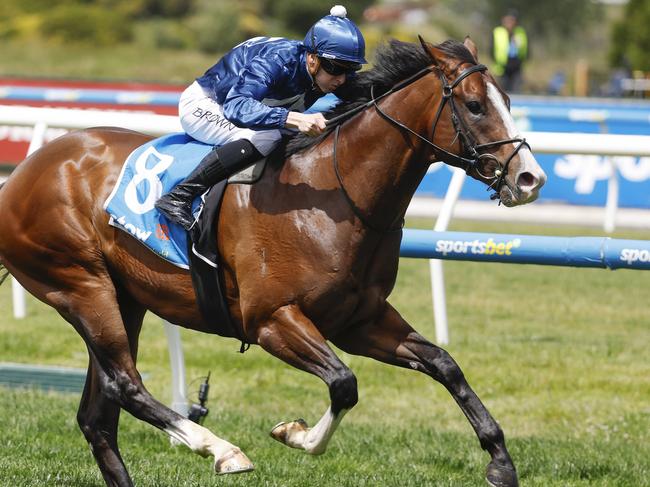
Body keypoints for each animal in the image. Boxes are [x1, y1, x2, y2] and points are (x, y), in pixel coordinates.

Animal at [0, 39, 544, 487]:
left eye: (508, 101)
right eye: (474, 106)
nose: (530, 178)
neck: (334, 193)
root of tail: (23, 172)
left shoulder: (359, 319)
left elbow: (444, 365)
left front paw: (500, 462)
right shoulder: (271, 320)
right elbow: (344, 384)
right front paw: (295, 434)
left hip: (125, 298)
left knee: (98, 417)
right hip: (81, 286)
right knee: (125, 384)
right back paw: (220, 449)